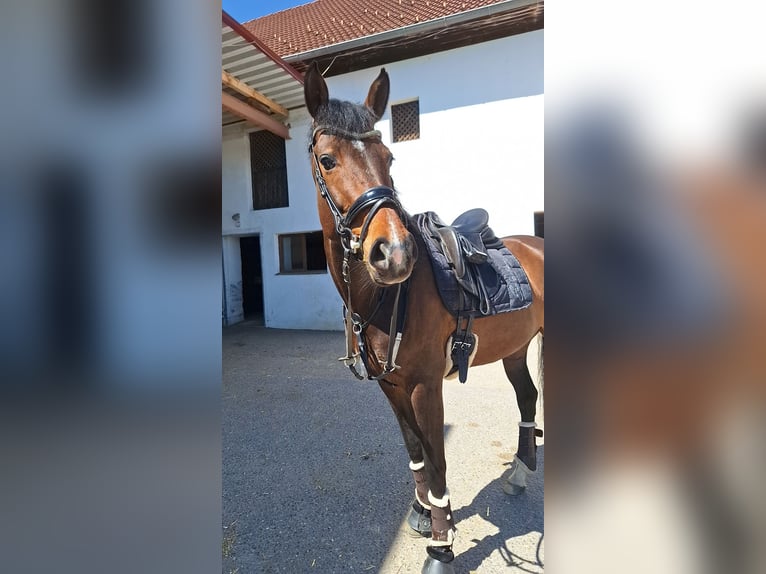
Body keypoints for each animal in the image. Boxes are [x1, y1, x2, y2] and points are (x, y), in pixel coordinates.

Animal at [303, 62, 544, 573]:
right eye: (328, 160)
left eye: (389, 157)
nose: (393, 253)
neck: (388, 296)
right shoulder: (392, 386)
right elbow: (415, 451)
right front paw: (424, 515)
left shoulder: (425, 384)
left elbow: (437, 460)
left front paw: (442, 547)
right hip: (515, 349)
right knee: (528, 398)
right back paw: (518, 473)